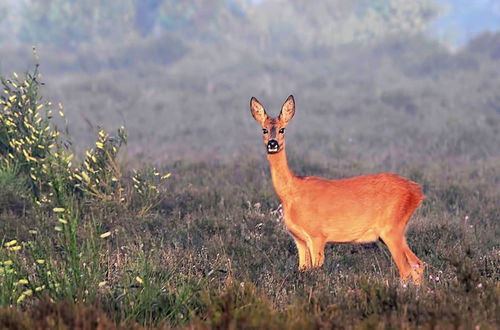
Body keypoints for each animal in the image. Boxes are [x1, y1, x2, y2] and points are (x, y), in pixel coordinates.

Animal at [250, 94, 426, 284]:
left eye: (282, 129)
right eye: (264, 130)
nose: (272, 144)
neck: (291, 193)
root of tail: (417, 191)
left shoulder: (317, 235)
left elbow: (316, 271)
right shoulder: (299, 239)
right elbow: (302, 269)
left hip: (391, 228)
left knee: (406, 269)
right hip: (397, 231)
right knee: (418, 264)